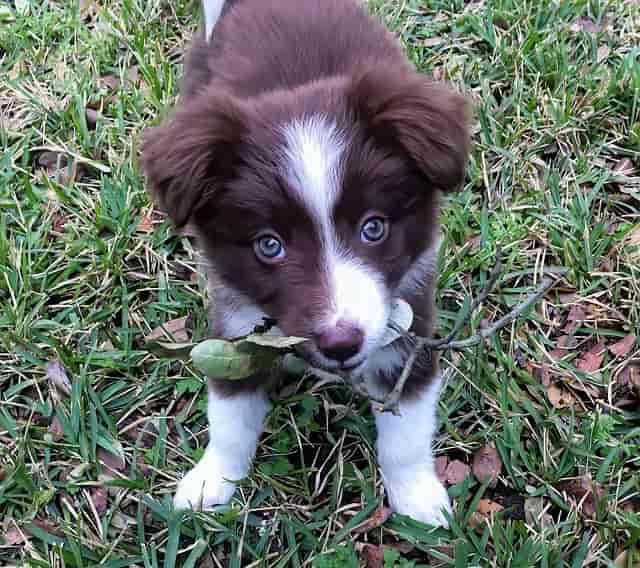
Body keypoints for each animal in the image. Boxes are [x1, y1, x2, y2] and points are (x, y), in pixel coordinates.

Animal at [142, 0, 468, 524]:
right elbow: (230, 415)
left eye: (373, 227)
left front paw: (416, 495)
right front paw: (212, 481)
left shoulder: (408, 321)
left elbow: (407, 427)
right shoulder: (237, 322)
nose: (340, 343)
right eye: (269, 245)